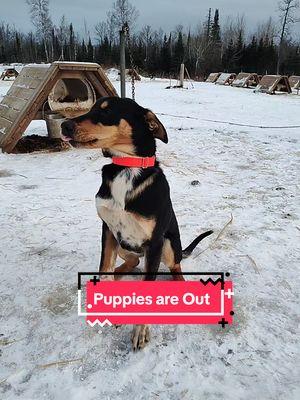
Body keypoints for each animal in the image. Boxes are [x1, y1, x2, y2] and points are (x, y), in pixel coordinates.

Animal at [61, 97, 212, 350]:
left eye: (107, 111)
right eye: (91, 108)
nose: (64, 126)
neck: (127, 166)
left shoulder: (155, 242)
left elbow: (147, 286)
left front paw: (140, 330)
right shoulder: (108, 230)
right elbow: (104, 269)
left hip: (168, 245)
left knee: (175, 267)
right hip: (123, 245)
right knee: (132, 261)